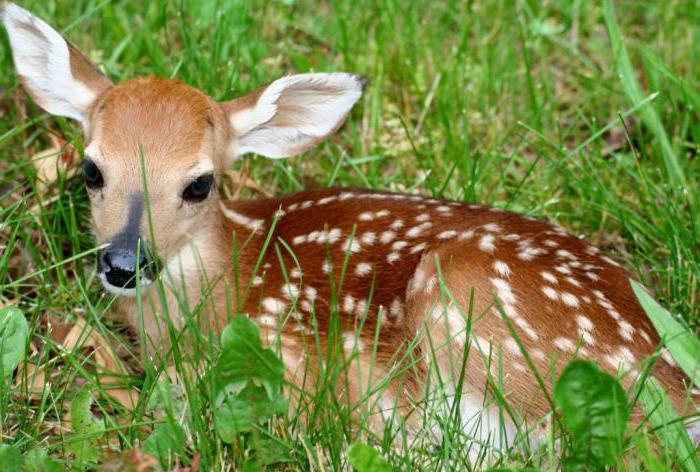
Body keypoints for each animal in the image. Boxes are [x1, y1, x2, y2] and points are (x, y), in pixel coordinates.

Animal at [2, 1, 696, 456]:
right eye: (91, 170)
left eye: (199, 184)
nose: (124, 264)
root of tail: (679, 387)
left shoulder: (291, 359)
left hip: (479, 302)